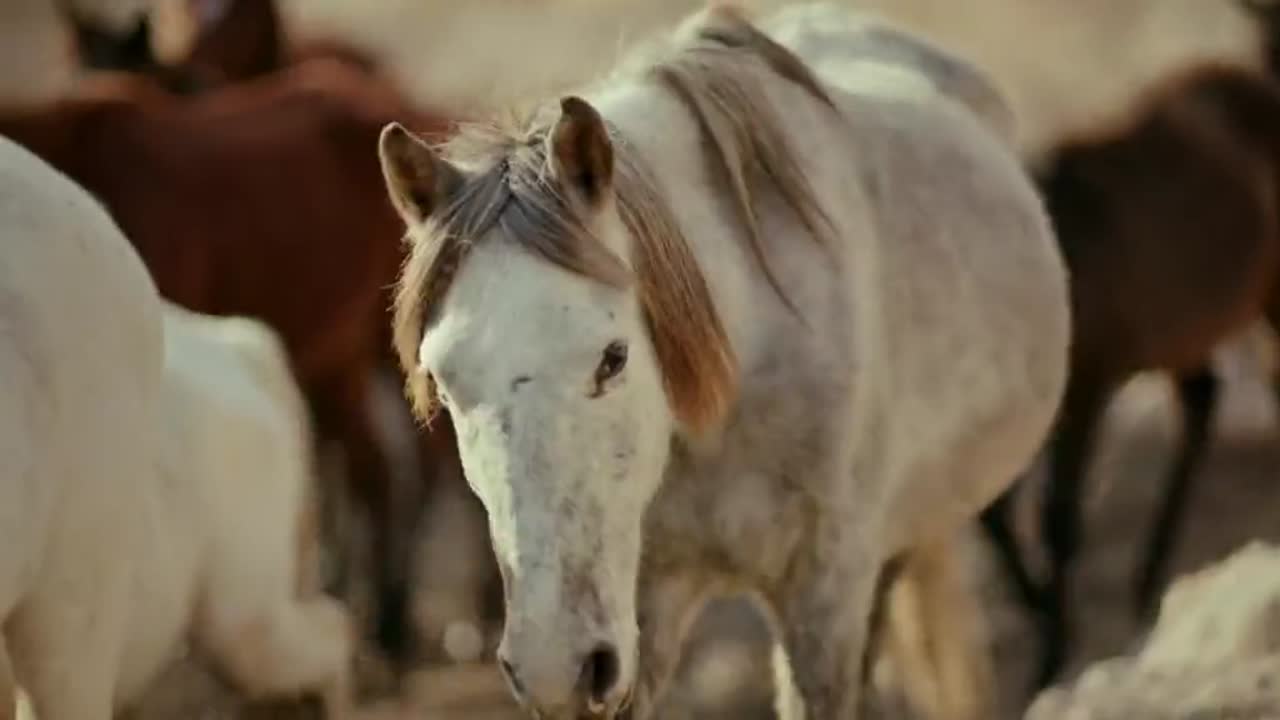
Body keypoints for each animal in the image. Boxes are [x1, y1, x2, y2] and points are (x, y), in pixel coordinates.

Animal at [977, 49, 1280, 689]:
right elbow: (997, 515)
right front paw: (1045, 623)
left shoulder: (1089, 384)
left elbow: (1059, 520)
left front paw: (1052, 657)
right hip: (1186, 329)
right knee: (1202, 400)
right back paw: (1147, 584)